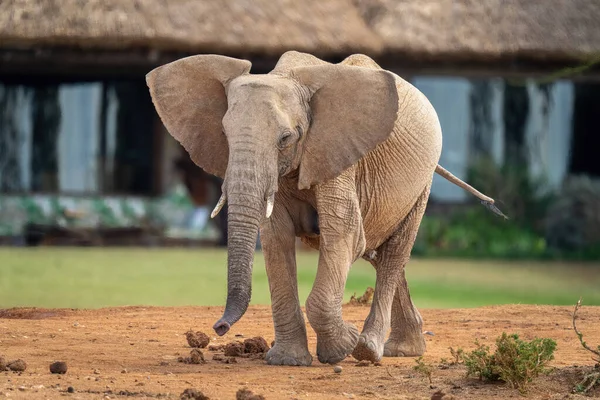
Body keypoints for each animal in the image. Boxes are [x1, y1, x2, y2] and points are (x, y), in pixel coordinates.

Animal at [146, 50, 506, 366]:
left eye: (285, 138)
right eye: (224, 134)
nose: (219, 327)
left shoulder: (339, 157)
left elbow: (344, 235)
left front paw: (343, 346)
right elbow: (276, 238)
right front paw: (288, 361)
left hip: (423, 181)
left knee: (393, 252)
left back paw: (370, 350)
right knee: (379, 251)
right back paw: (404, 350)